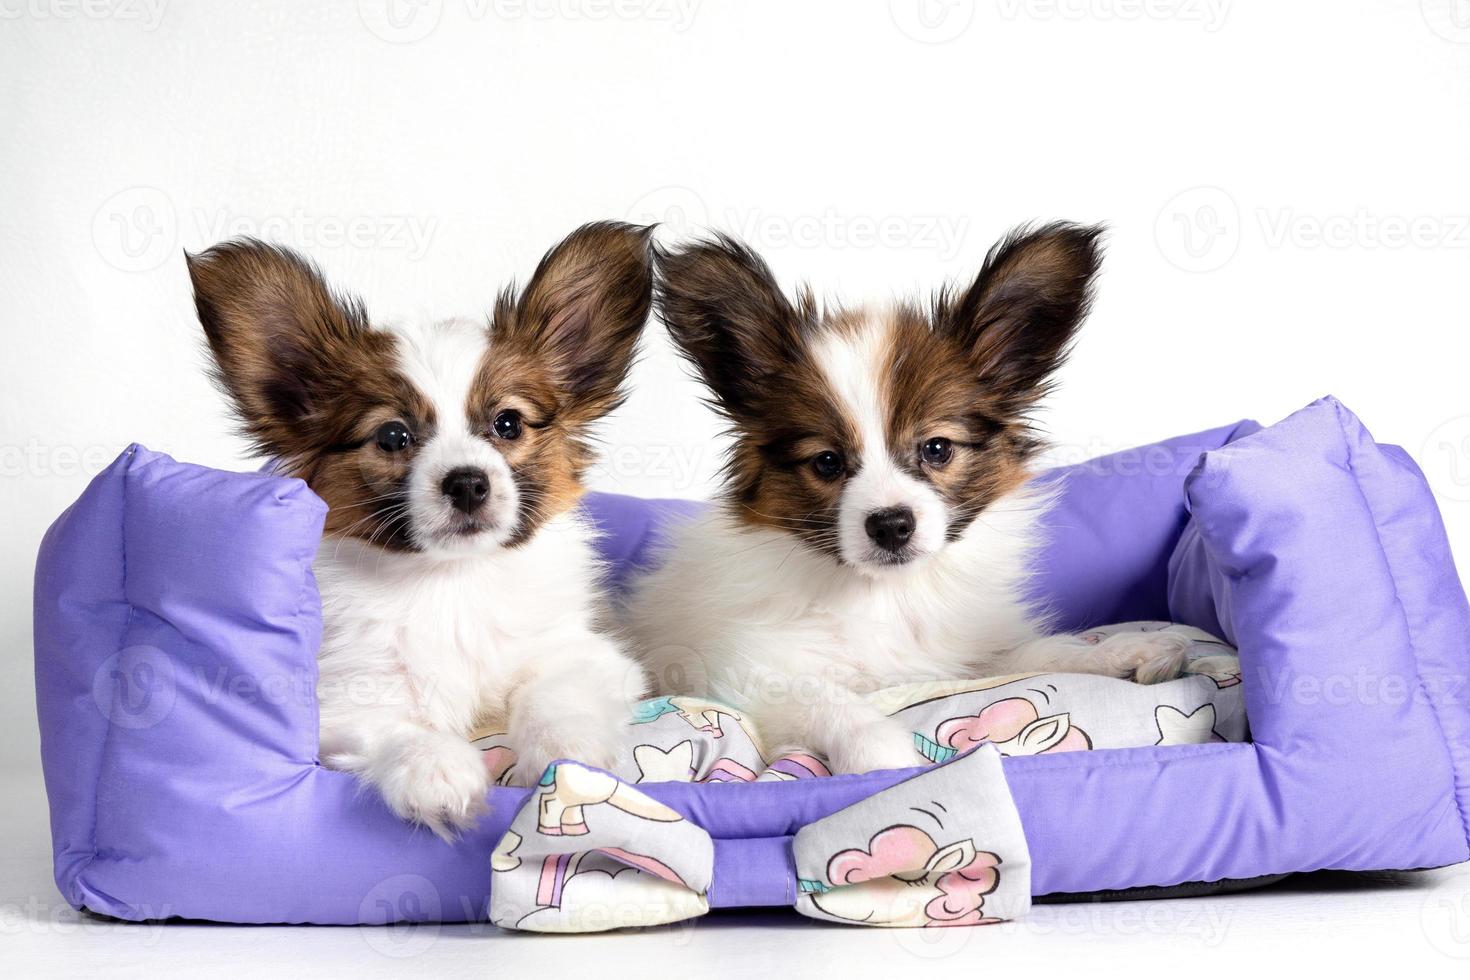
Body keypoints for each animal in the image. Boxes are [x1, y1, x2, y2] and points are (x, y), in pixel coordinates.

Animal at [189, 221, 655, 834]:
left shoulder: (585, 655)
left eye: (508, 424)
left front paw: (567, 752)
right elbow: (397, 730)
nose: (468, 483)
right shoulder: (344, 699)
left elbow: (553, 693)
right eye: (393, 437)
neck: (451, 582)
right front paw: (437, 770)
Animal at [629, 221, 1193, 775]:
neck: (889, 594)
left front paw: (1120, 651)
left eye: (936, 448)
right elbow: (834, 703)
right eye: (827, 462)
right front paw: (884, 759)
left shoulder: (967, 655)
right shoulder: (751, 673)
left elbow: (1041, 653)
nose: (891, 525)